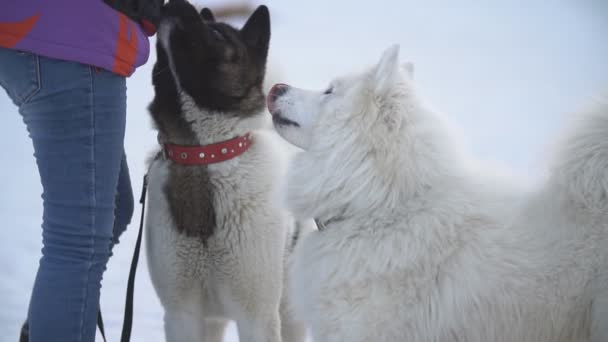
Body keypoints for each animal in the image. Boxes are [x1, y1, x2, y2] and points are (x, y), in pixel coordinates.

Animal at [145, 1, 312, 340]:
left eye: (218, 35)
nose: (174, 4)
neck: (202, 156)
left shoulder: (256, 316)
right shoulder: (181, 314)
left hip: (288, 308)